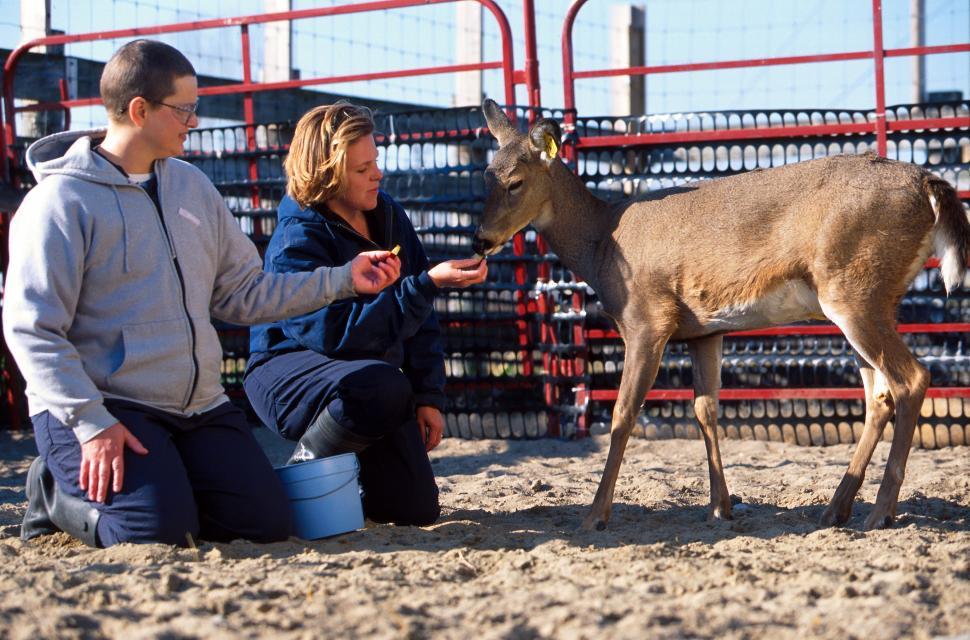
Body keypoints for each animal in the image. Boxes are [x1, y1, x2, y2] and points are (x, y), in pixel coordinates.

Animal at [472, 99, 970, 532]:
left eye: (516, 182)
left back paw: (879, 513)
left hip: (854, 292)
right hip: (867, 299)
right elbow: (705, 409)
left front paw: (595, 515)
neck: (601, 243)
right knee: (879, 395)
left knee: (912, 378)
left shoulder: (647, 319)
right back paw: (835, 509)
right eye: (486, 175)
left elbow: (622, 414)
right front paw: (719, 507)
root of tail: (929, 183)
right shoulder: (703, 331)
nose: (480, 239)